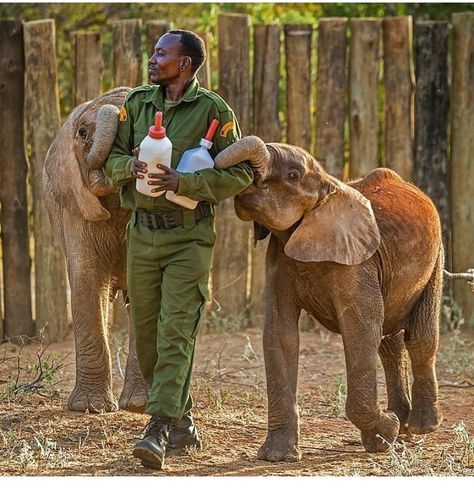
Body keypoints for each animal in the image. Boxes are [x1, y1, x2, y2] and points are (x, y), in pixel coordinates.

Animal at [215, 136, 444, 462]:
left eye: (293, 175)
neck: (327, 186)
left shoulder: (357, 262)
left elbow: (360, 331)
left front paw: (385, 431)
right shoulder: (279, 259)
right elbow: (280, 335)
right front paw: (277, 456)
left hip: (436, 258)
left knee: (420, 336)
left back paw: (419, 427)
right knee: (389, 342)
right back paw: (402, 432)